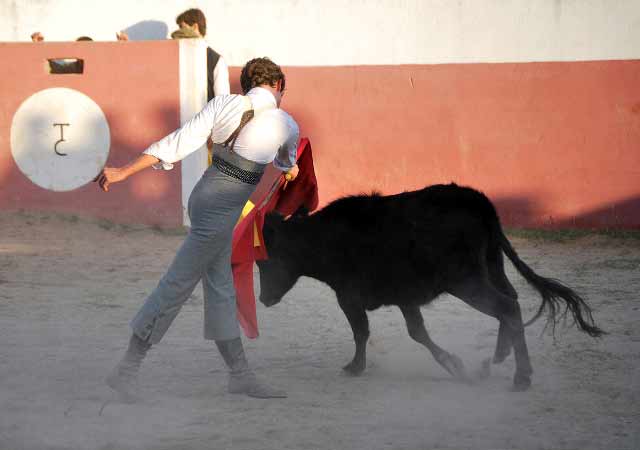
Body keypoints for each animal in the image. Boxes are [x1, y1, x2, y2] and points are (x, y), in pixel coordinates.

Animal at [254, 183, 600, 390]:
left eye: (265, 262)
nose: (264, 299)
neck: (321, 238)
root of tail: (479, 203)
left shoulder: (348, 297)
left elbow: (362, 332)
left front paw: (355, 367)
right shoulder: (404, 298)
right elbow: (417, 332)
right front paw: (457, 365)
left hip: (466, 280)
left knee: (506, 306)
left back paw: (521, 376)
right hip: (491, 266)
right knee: (510, 301)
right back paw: (498, 358)